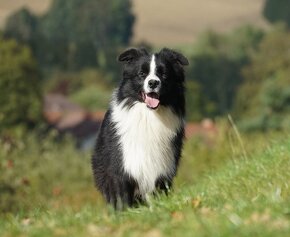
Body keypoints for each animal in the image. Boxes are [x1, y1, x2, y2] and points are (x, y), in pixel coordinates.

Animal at [92, 47, 189, 208]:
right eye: (142, 74)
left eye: (164, 74)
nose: (153, 83)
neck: (148, 117)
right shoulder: (123, 167)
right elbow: (122, 196)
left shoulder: (163, 168)